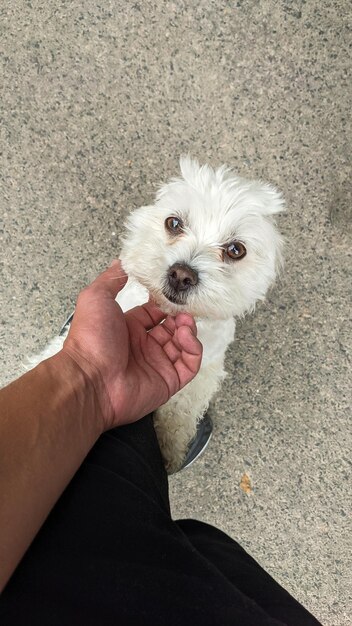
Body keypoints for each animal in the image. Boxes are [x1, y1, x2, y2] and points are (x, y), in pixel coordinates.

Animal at [28, 157, 284, 472]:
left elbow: (181, 409)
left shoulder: (205, 369)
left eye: (236, 249)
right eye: (173, 223)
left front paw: (169, 447)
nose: (181, 275)